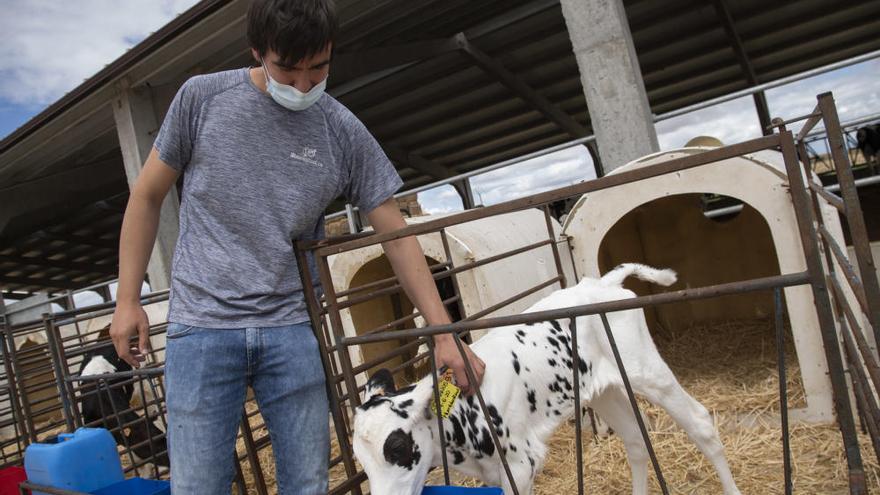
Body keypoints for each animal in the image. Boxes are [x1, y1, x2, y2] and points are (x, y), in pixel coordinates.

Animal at [350, 266, 744, 494]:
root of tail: (599, 283)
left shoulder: (521, 465)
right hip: (603, 389)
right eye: (361, 461)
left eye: (397, 448)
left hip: (645, 369)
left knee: (699, 422)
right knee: (635, 439)